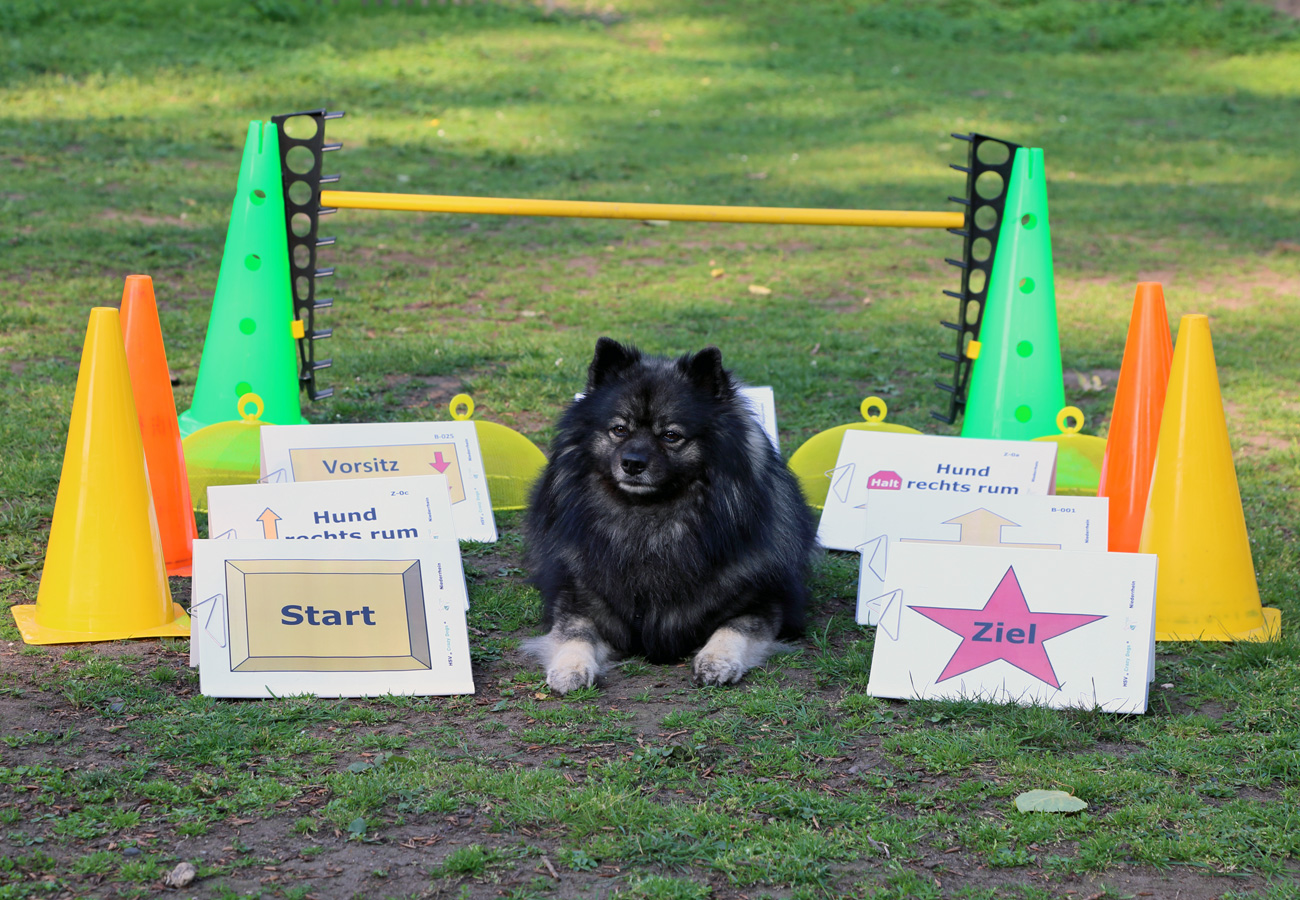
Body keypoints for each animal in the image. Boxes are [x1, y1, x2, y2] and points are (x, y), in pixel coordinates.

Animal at [522, 332, 816, 691]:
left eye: (671, 435)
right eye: (619, 429)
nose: (632, 463)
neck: (648, 521)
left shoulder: (764, 600)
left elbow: (734, 627)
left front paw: (717, 660)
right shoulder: (577, 597)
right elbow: (573, 632)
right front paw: (570, 668)